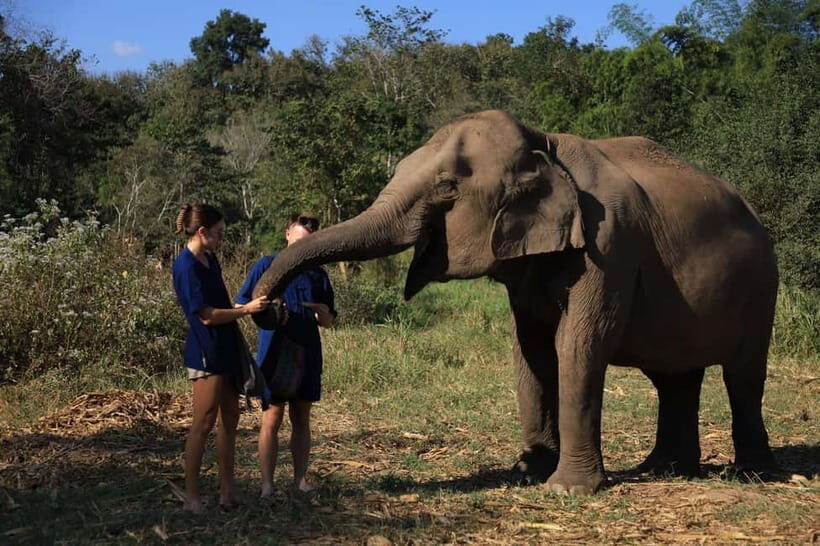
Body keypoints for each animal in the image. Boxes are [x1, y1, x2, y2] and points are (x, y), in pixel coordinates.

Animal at [252, 110, 778, 494]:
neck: (545, 144)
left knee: (743, 375)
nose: (269, 309)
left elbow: (578, 345)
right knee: (675, 377)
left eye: (447, 188)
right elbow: (532, 349)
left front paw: (566, 490)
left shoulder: (609, 247)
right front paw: (527, 472)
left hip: (761, 287)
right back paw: (664, 468)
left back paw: (749, 474)